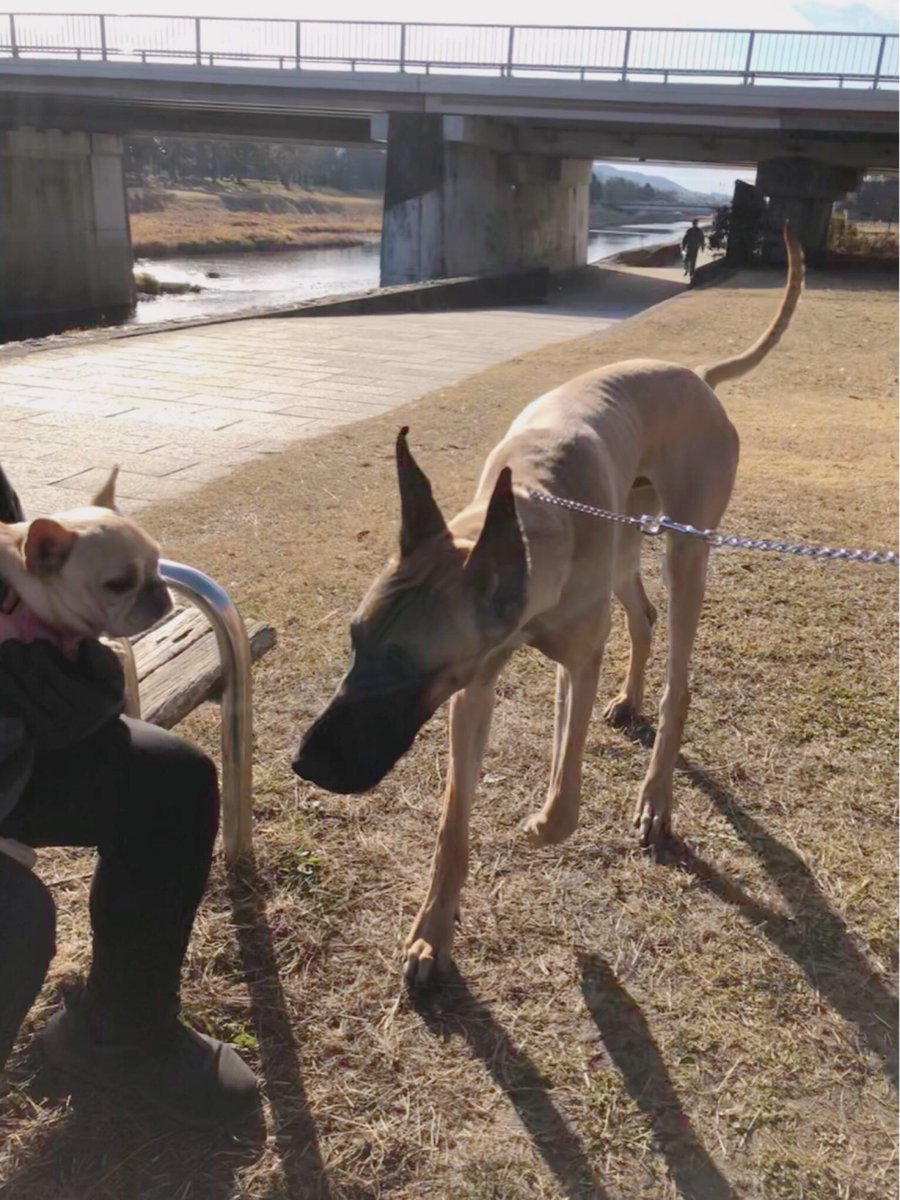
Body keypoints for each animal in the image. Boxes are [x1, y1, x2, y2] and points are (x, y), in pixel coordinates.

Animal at [297, 226, 811, 984]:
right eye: (354, 641)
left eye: (409, 667)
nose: (303, 765)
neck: (530, 503)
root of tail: (696, 375)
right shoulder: (473, 684)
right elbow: (454, 820)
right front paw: (432, 933)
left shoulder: (572, 660)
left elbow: (566, 793)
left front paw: (540, 826)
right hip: (629, 532)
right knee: (643, 614)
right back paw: (631, 703)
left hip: (686, 547)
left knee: (680, 671)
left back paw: (655, 797)